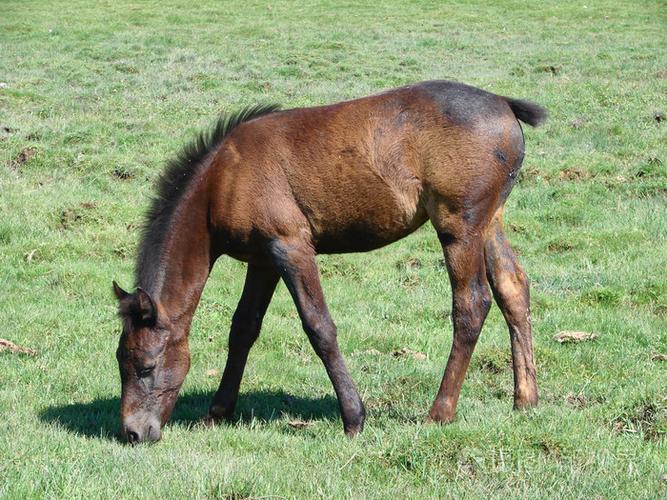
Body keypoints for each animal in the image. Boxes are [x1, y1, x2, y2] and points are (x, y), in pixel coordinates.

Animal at [113, 80, 546, 444]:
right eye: (120, 360)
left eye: (146, 366)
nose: (133, 432)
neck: (224, 179)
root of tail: (503, 103)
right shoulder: (263, 261)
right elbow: (243, 329)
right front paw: (217, 411)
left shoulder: (291, 247)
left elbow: (319, 327)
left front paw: (354, 417)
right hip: (489, 222)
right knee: (513, 288)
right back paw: (525, 400)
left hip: (459, 225)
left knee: (472, 304)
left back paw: (439, 412)